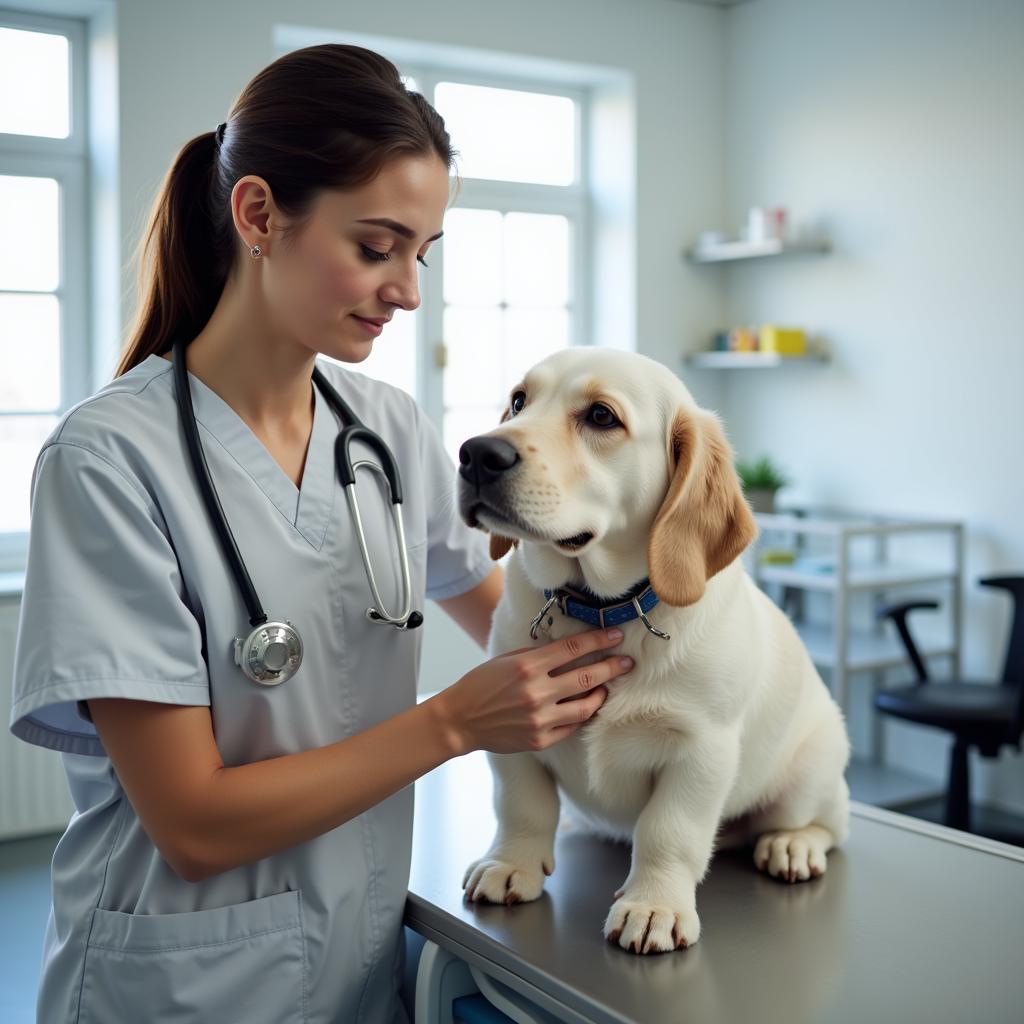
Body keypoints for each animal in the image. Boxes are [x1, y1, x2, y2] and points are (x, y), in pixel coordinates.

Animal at [456, 350, 847, 950]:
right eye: (519, 401)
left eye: (601, 416)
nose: (476, 453)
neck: (601, 605)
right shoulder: (513, 726)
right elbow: (522, 805)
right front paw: (511, 864)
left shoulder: (701, 749)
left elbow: (669, 831)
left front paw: (654, 905)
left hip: (810, 772)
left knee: (832, 821)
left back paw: (794, 844)